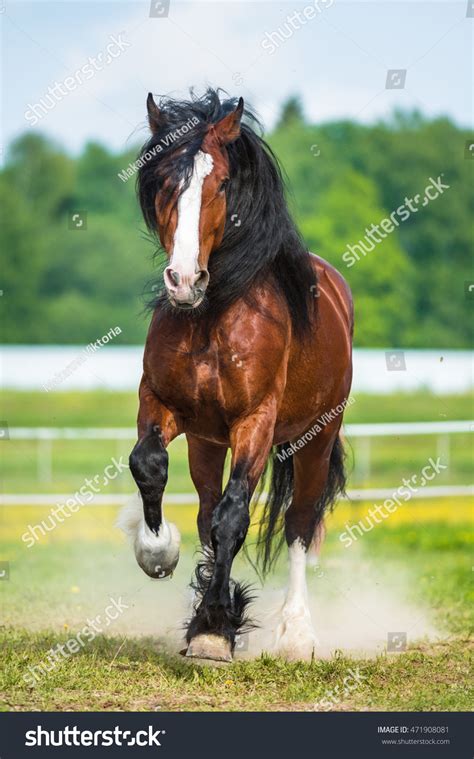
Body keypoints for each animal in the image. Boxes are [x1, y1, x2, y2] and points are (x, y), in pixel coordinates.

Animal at [120, 89, 353, 663]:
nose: (184, 281)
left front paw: (214, 629)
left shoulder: (256, 421)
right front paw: (158, 553)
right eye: (163, 181)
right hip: (207, 443)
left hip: (315, 441)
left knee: (297, 524)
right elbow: (149, 466)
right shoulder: (161, 404)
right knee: (207, 512)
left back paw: (297, 634)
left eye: (222, 183)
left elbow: (234, 517)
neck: (212, 316)